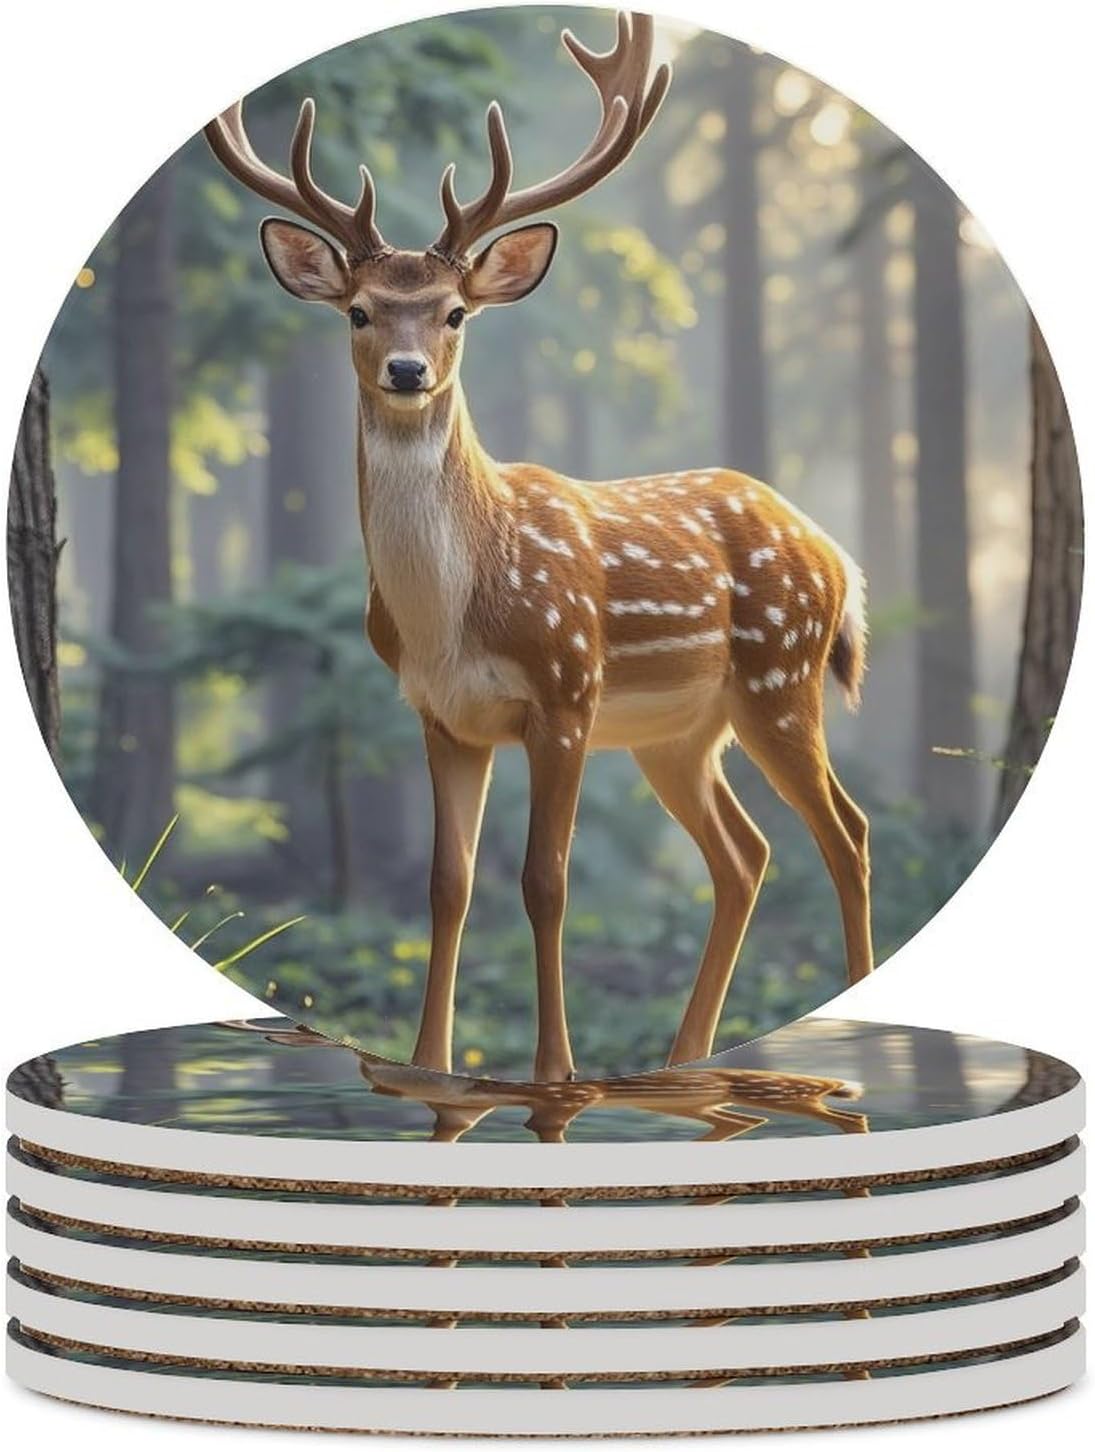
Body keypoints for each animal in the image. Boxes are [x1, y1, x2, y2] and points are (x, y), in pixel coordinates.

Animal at [205, 10, 872, 1085]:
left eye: (454, 312)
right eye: (357, 309)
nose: (405, 370)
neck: (452, 613)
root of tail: (834, 554)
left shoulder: (565, 691)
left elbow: (544, 880)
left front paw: (552, 1074)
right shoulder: (440, 715)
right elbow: (448, 883)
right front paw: (431, 1066)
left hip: (779, 675)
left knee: (842, 835)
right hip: (680, 733)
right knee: (744, 857)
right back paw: (687, 1062)